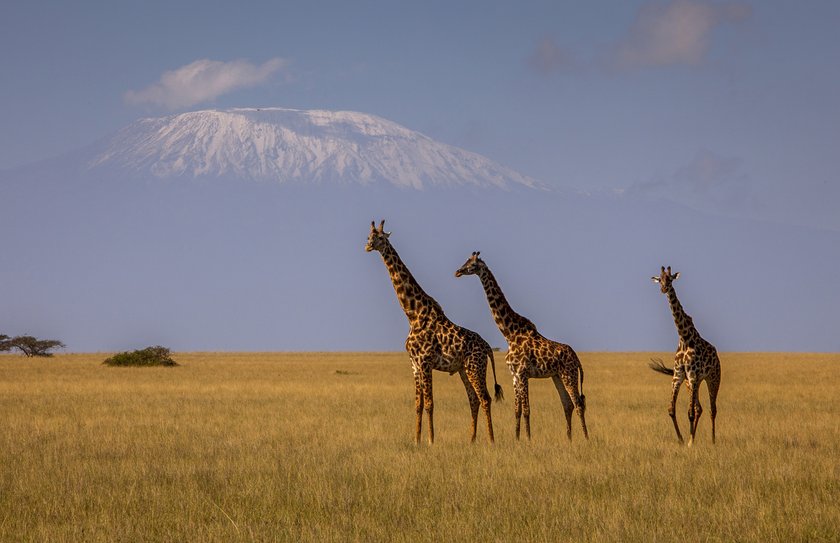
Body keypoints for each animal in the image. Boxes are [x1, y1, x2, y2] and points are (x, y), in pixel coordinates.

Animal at [364, 221, 502, 446]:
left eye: (381, 238)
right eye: (369, 236)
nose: (367, 246)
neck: (413, 314)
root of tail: (489, 347)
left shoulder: (425, 361)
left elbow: (429, 403)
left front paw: (430, 440)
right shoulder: (414, 364)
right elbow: (418, 404)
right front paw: (416, 439)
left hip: (475, 367)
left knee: (485, 398)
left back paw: (490, 440)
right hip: (463, 370)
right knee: (473, 399)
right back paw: (471, 439)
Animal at [456, 251, 588, 442]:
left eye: (472, 265)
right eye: (465, 261)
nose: (457, 272)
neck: (509, 334)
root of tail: (577, 359)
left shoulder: (523, 373)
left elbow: (526, 410)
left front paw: (528, 439)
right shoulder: (514, 375)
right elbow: (517, 410)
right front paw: (517, 438)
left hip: (569, 375)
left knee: (578, 404)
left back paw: (586, 438)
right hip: (557, 376)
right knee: (567, 404)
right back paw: (569, 439)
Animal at [648, 266, 720, 446]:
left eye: (670, 279)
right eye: (659, 279)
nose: (663, 289)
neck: (684, 338)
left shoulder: (693, 376)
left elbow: (690, 413)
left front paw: (690, 442)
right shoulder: (679, 376)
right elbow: (671, 410)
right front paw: (682, 439)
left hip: (713, 378)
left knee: (712, 409)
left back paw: (713, 440)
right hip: (694, 383)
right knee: (699, 408)